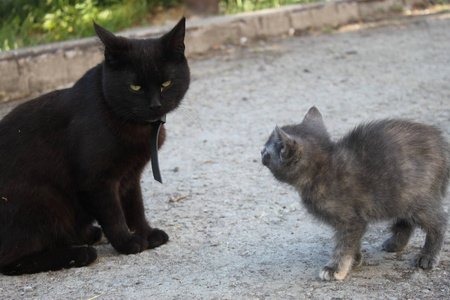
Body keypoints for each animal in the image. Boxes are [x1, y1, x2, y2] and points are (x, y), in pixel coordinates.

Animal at [0, 17, 190, 276]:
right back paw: (79, 254)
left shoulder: (130, 175)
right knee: (10, 260)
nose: (155, 105)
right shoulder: (96, 180)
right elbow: (114, 214)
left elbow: (135, 207)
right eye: (135, 87)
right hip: (42, 198)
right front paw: (127, 243)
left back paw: (86, 234)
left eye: (166, 83)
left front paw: (147, 233)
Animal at [262, 107, 450, 282]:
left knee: (439, 222)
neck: (321, 169)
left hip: (417, 196)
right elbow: (353, 243)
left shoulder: (350, 220)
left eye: (266, 150)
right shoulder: (355, 221)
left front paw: (335, 268)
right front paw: (355, 259)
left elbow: (344, 246)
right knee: (406, 220)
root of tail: (441, 143)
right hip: (401, 195)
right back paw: (396, 243)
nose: (260, 153)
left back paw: (427, 256)